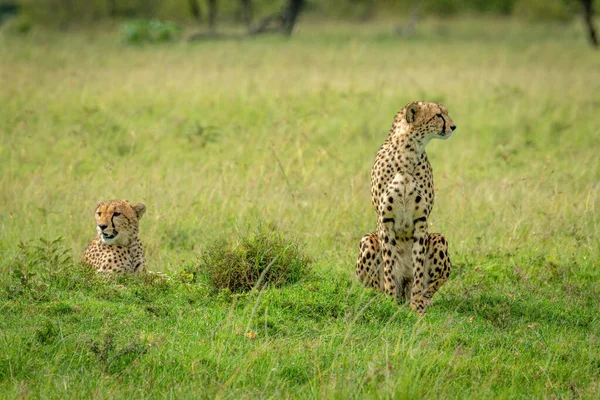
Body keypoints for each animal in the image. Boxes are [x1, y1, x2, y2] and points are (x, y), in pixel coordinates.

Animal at [354, 101, 458, 314]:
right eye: (438, 115)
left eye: (446, 113)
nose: (453, 127)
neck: (408, 152)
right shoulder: (385, 219)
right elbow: (389, 263)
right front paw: (389, 299)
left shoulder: (421, 220)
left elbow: (418, 264)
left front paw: (416, 303)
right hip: (368, 239)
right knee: (373, 284)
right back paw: (384, 297)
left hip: (439, 239)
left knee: (434, 283)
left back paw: (422, 300)